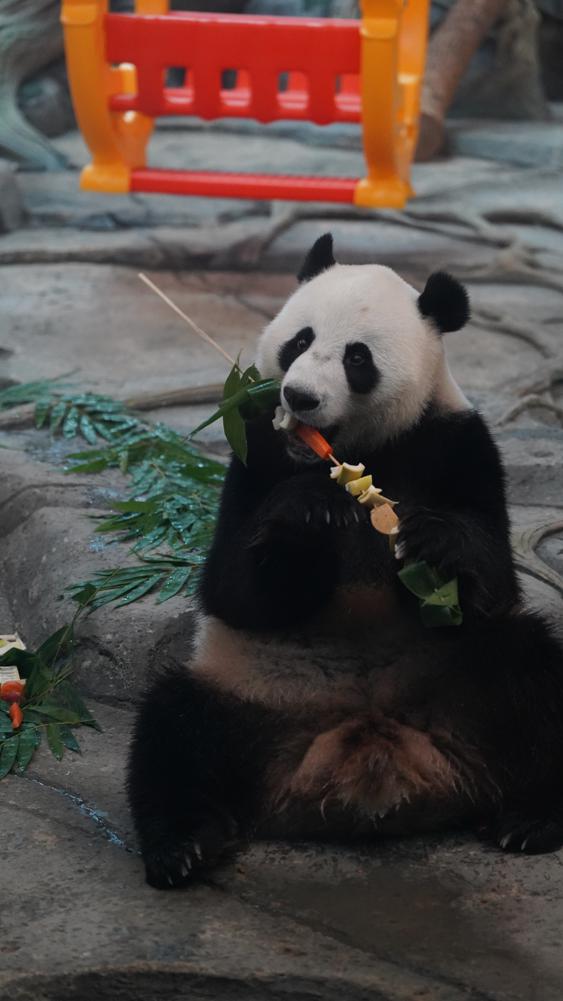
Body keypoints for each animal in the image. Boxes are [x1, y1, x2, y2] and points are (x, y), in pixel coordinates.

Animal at [127, 236, 560, 892]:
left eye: (358, 358)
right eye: (299, 340)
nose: (299, 396)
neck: (345, 451)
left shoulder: (457, 444)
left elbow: (490, 588)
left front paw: (434, 541)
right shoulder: (253, 451)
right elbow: (233, 589)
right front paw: (309, 515)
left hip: (465, 682)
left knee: (534, 677)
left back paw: (531, 820)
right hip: (249, 696)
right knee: (173, 729)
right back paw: (184, 846)